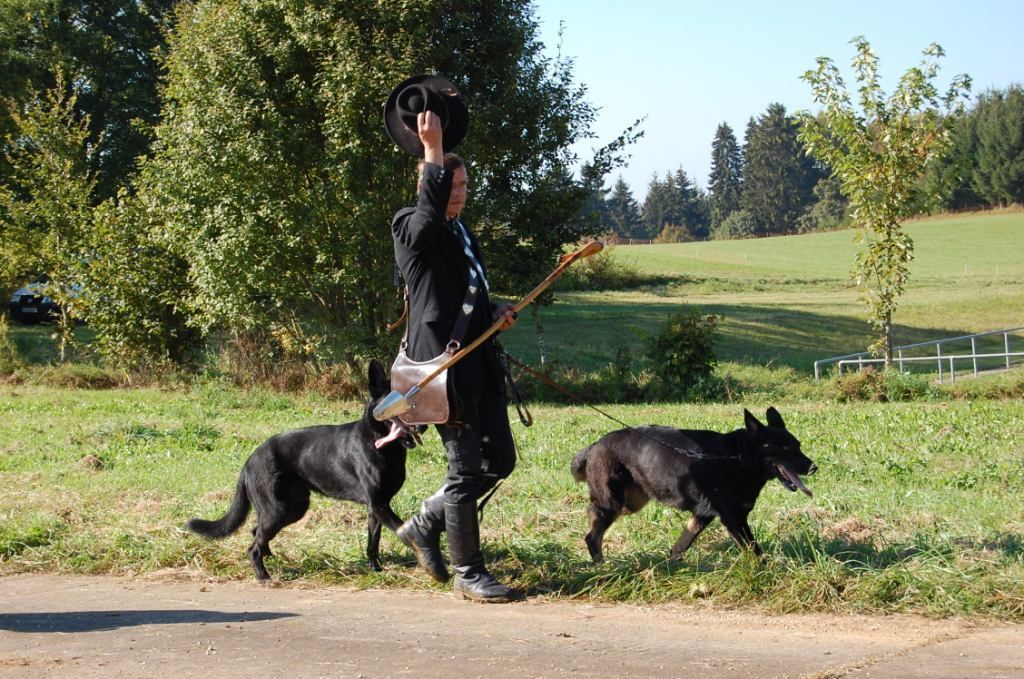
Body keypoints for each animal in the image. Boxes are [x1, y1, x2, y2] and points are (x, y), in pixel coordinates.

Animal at [186, 360, 421, 577]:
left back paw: (271, 557)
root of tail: (249, 461)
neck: (380, 443)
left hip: (294, 508)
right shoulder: (379, 505)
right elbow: (403, 531)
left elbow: (373, 541)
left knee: (256, 532)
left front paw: (375, 568)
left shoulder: (376, 508)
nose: (422, 425)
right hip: (278, 510)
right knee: (253, 547)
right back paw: (264, 576)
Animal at [569, 409, 815, 561]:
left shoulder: (701, 516)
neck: (738, 457)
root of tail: (596, 445)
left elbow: (679, 548)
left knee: (593, 519)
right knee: (593, 535)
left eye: (798, 445)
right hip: (613, 502)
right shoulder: (734, 519)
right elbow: (755, 552)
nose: (814, 467)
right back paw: (602, 567)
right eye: (785, 449)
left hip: (631, 503)